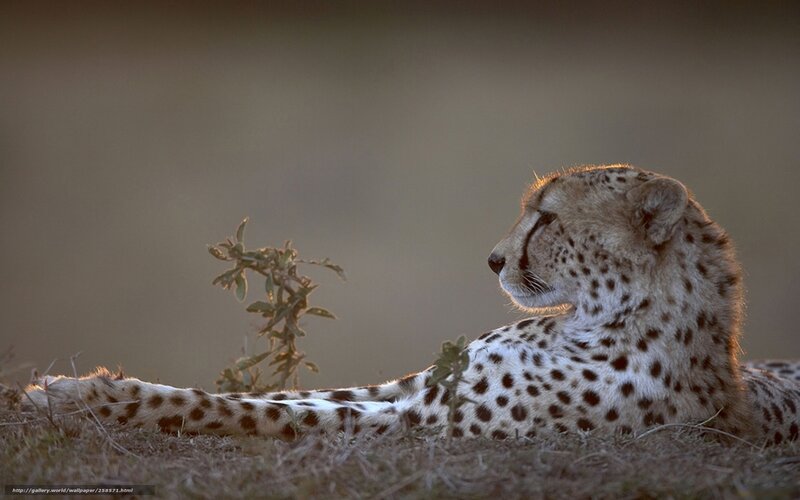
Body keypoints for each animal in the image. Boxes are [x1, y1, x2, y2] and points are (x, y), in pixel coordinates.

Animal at [23, 164, 800, 445]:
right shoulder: (414, 387)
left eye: (546, 218)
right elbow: (278, 396)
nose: (494, 259)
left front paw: (90, 399)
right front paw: (71, 387)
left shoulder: (419, 420)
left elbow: (254, 411)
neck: (597, 317)